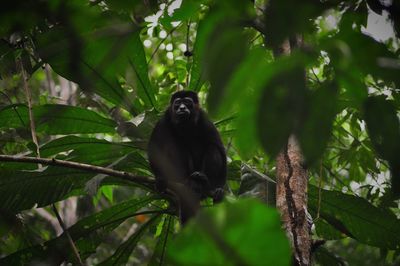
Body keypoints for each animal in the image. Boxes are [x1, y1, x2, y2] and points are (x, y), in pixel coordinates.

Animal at [148, 90, 228, 223]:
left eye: (187, 102)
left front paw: (219, 189)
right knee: (178, 149)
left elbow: (220, 148)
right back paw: (187, 182)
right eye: (178, 103)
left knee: (213, 148)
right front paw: (160, 179)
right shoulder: (164, 120)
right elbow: (155, 149)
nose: (182, 108)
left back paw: (203, 181)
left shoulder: (204, 119)